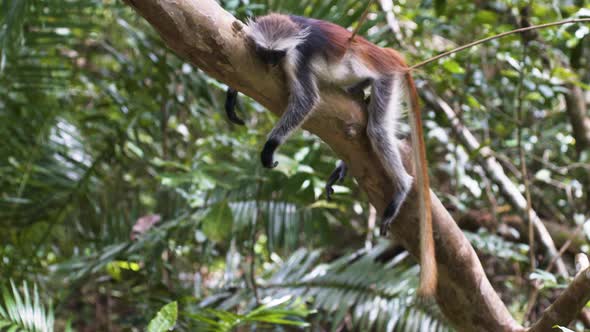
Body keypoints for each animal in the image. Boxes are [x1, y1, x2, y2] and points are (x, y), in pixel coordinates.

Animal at [229, 13, 438, 296]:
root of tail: (385, 54)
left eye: (278, 54)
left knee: (377, 130)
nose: (271, 63)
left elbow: (306, 100)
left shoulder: (297, 57)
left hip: (386, 77)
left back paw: (403, 186)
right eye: (266, 52)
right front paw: (232, 92)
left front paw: (270, 146)